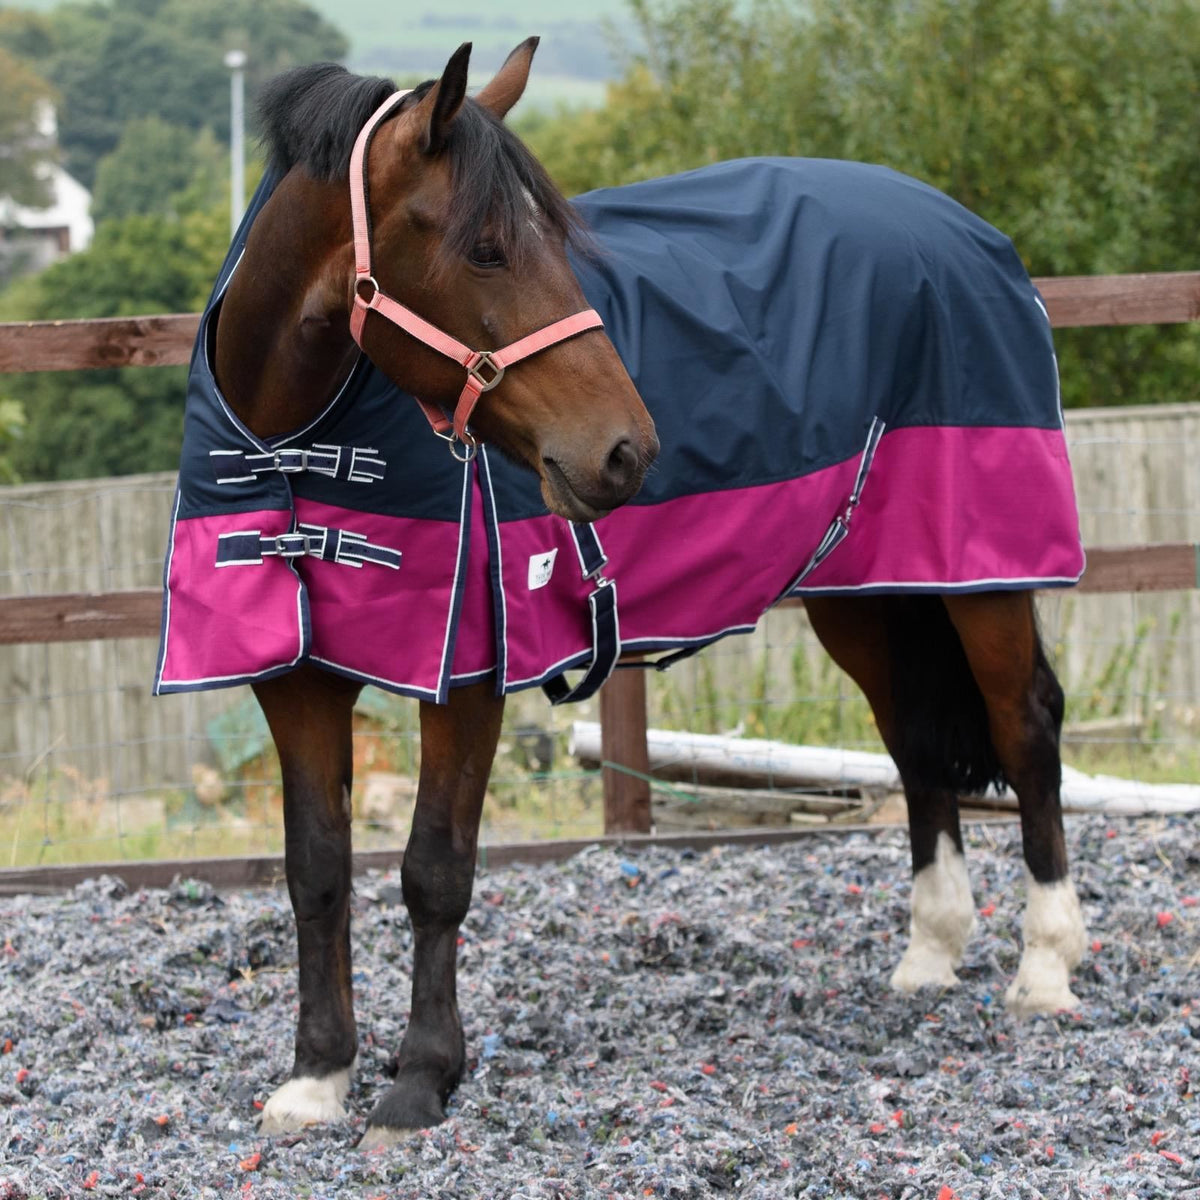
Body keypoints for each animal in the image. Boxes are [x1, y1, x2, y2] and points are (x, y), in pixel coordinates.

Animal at [155, 40, 1087, 1148]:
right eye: (486, 249)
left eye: (553, 239)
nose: (626, 450)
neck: (301, 441)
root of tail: (966, 231)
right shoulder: (296, 678)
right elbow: (317, 870)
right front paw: (316, 1078)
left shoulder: (467, 674)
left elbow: (433, 871)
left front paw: (419, 1082)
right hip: (868, 588)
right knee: (913, 740)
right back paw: (931, 951)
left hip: (984, 574)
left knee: (1025, 725)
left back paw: (1045, 967)